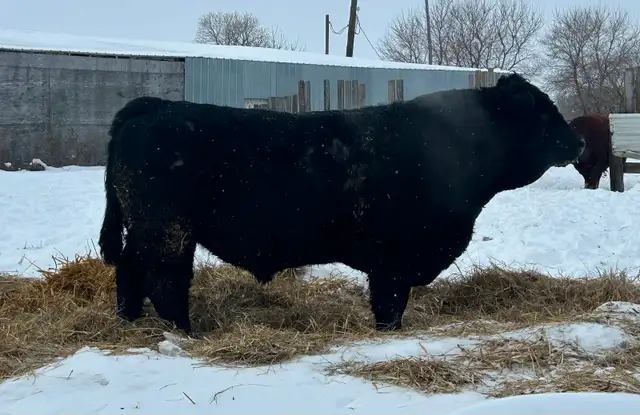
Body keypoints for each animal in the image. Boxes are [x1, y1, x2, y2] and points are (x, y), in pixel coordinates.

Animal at [98, 73, 585, 336]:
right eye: (542, 111)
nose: (578, 141)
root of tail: (153, 107)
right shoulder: (394, 258)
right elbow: (390, 304)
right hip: (167, 230)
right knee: (164, 281)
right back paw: (187, 333)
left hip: (150, 231)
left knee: (131, 272)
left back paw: (131, 324)